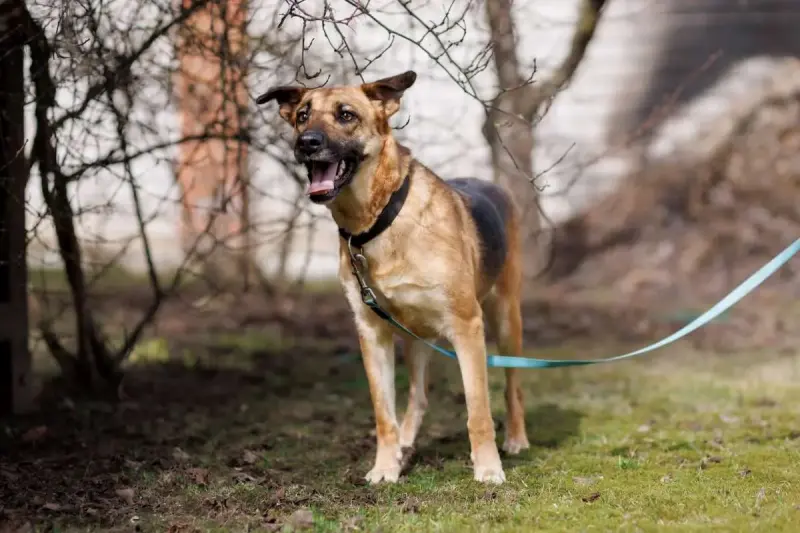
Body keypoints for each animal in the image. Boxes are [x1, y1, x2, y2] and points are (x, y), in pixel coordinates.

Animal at [260, 70, 528, 482]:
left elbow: (478, 410)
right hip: (416, 338)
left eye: (346, 115)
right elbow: (384, 415)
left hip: (505, 321)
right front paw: (386, 468)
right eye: (303, 115)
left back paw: (515, 439)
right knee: (418, 397)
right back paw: (405, 445)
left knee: (513, 388)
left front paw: (487, 468)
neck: (379, 220)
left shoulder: (467, 326)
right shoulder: (373, 333)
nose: (307, 143)